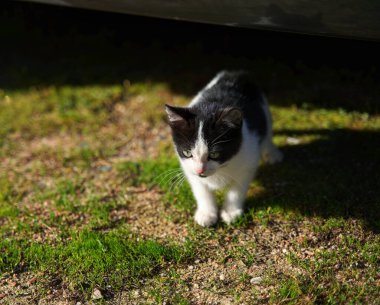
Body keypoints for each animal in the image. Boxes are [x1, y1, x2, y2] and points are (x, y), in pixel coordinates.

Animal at [166, 69, 282, 226]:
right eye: (187, 152)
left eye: (214, 154)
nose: (200, 170)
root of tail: (235, 73)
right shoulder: (189, 168)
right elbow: (201, 189)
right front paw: (207, 213)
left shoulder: (248, 159)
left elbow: (236, 190)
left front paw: (231, 212)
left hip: (264, 110)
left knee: (267, 131)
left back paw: (272, 153)